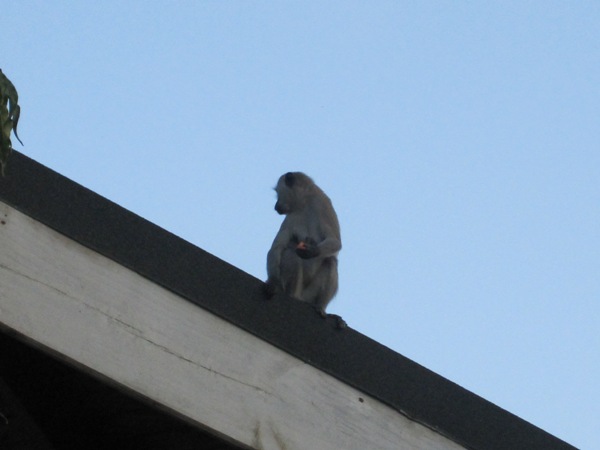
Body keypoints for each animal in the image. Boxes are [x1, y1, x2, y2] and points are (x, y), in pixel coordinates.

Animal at [265, 172, 344, 325]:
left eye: (278, 193)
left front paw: (313, 251)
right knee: (291, 254)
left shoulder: (324, 206)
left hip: (309, 295)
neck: (304, 204)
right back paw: (292, 296)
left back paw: (320, 307)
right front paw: (273, 282)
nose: (276, 206)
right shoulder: (291, 217)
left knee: (330, 261)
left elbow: (335, 242)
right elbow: (277, 248)